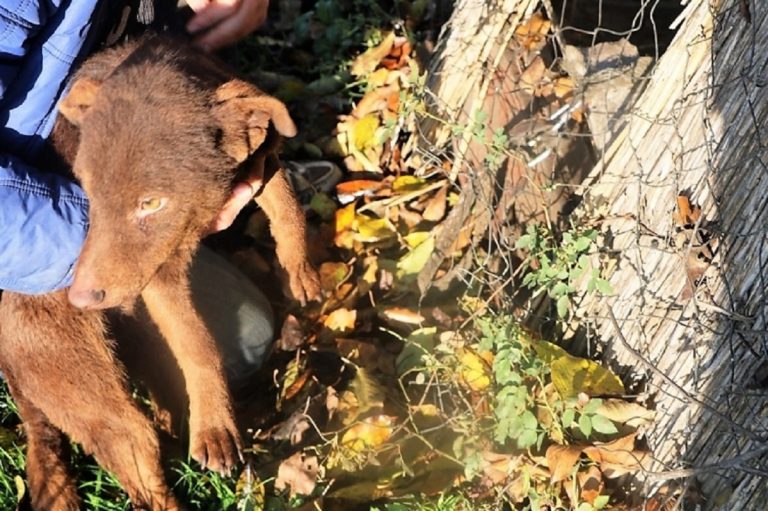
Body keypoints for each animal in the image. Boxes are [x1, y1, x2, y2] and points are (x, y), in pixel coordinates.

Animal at [0, 34, 320, 510]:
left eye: (151, 203)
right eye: (88, 190)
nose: (79, 296)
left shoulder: (262, 158)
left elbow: (288, 209)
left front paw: (301, 272)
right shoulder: (160, 275)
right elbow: (197, 344)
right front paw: (215, 427)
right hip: (81, 380)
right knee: (142, 469)